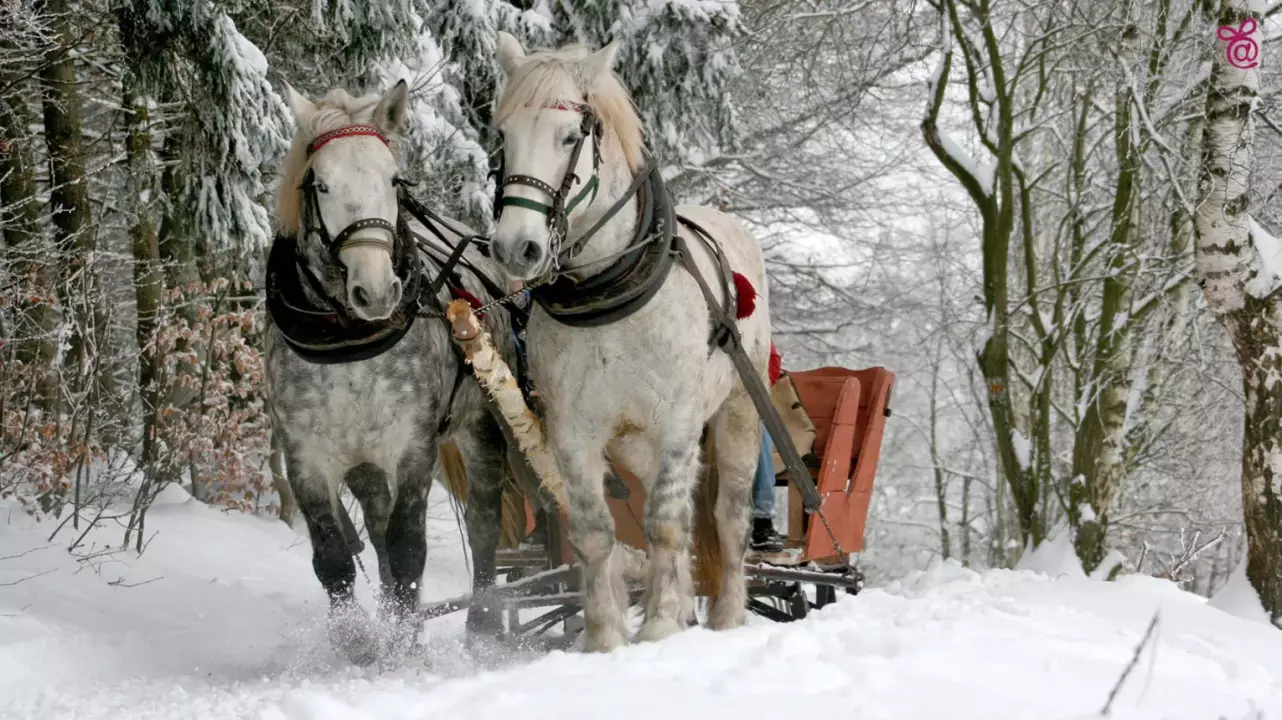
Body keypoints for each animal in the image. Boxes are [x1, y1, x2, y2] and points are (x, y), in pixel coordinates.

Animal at [484, 32, 769, 650]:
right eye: (503, 134)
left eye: (570, 136)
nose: (516, 248)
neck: (609, 291)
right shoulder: (572, 430)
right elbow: (595, 531)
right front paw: (606, 638)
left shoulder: (680, 421)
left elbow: (664, 522)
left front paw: (660, 626)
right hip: (634, 440)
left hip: (737, 411)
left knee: (726, 517)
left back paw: (727, 616)